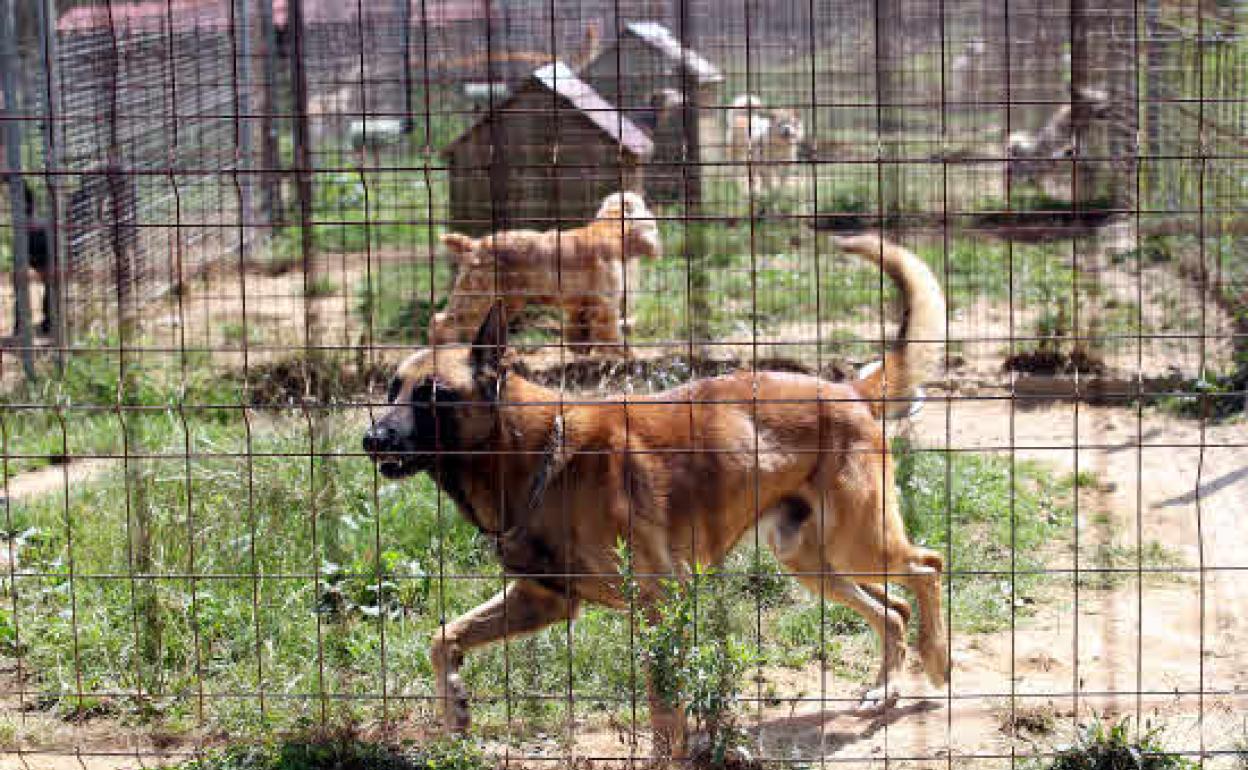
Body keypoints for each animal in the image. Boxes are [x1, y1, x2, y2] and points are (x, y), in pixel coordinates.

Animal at [364, 230, 948, 753]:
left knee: (927, 569)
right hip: (809, 560)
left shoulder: (656, 602)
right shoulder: (543, 599)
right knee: (894, 609)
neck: (535, 456)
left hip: (859, 544)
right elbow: (443, 636)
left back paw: (937, 660)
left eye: (434, 395)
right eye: (391, 390)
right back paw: (885, 688)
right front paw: (455, 708)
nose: (372, 439)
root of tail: (848, 390)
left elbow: (663, 707)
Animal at [431, 190, 663, 349]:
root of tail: (475, 244)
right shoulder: (604, 303)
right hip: (479, 297)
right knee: (444, 322)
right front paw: (622, 356)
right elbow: (610, 334)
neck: (611, 230)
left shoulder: (579, 304)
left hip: (502, 302)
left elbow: (579, 332)